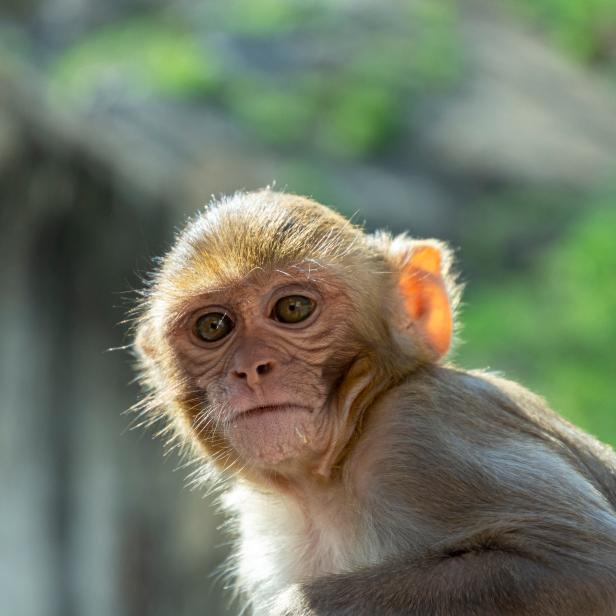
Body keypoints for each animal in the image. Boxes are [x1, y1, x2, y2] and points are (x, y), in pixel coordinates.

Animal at [132, 190, 616, 612]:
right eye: (213, 326)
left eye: (292, 308)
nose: (251, 368)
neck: (328, 482)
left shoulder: (425, 434)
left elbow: (590, 564)